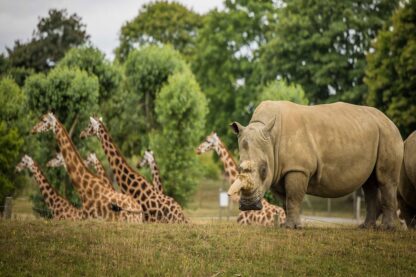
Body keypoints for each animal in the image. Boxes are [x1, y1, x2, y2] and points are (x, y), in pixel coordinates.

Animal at [228, 100, 404, 227]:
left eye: (264, 169)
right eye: (238, 167)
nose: (248, 205)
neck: (270, 137)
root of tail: (389, 121)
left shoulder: (297, 168)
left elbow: (293, 197)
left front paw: (292, 227)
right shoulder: (279, 170)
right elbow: (285, 200)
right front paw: (285, 226)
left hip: (388, 134)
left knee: (385, 181)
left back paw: (387, 228)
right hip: (375, 133)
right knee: (369, 184)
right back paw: (366, 227)